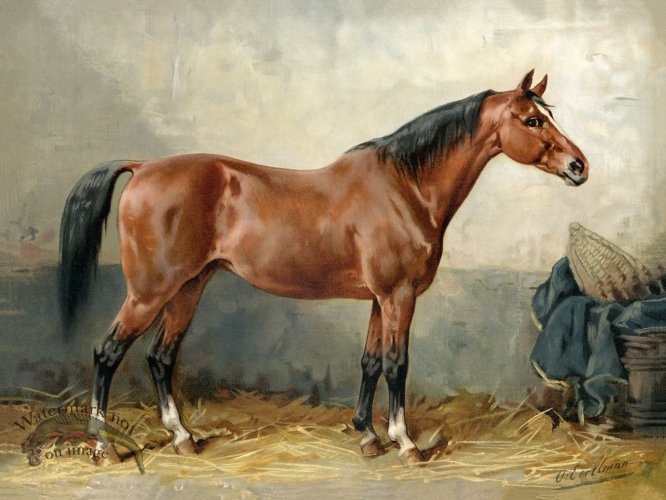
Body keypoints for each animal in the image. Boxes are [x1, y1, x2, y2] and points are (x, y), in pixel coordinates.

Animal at [58, 70, 589, 466]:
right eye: (532, 120)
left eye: (547, 116)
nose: (579, 166)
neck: (405, 187)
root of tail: (143, 167)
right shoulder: (398, 296)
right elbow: (397, 364)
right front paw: (405, 442)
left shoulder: (379, 299)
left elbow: (370, 361)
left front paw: (368, 436)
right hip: (150, 292)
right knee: (108, 353)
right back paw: (104, 446)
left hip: (188, 287)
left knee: (161, 357)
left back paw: (183, 437)